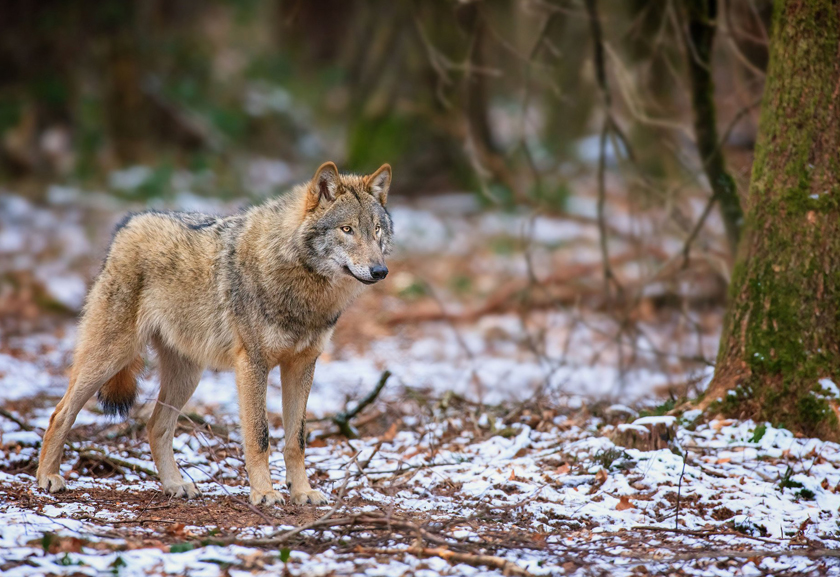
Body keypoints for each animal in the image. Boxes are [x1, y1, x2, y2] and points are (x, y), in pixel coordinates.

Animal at [35, 162, 394, 504]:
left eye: (376, 230)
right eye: (347, 229)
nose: (380, 271)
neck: (303, 285)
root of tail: (129, 222)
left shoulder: (303, 365)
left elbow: (297, 440)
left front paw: (302, 492)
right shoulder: (253, 365)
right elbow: (259, 436)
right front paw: (264, 493)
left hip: (187, 375)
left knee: (156, 426)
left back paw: (175, 485)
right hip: (112, 356)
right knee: (59, 413)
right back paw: (47, 478)